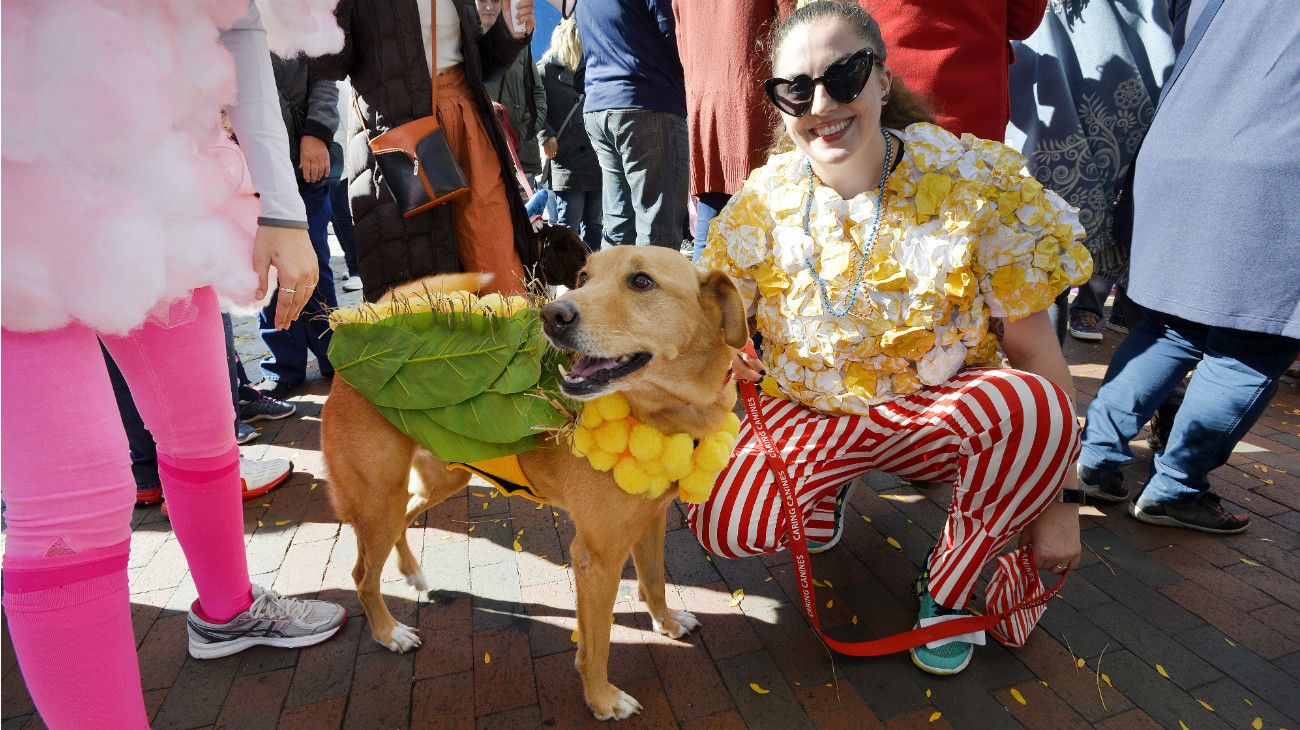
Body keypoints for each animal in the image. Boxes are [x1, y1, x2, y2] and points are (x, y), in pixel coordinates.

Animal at [319, 244, 748, 717]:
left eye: (641, 281)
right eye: (583, 277)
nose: (552, 315)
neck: (670, 416)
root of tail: (363, 323)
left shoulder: (649, 521)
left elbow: (654, 582)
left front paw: (667, 623)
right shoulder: (596, 558)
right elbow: (596, 644)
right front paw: (602, 699)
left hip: (436, 482)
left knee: (402, 522)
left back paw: (411, 572)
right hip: (379, 497)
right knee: (362, 573)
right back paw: (388, 631)